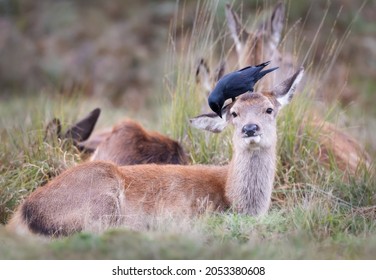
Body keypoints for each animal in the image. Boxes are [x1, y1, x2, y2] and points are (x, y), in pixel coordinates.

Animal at [7, 68, 304, 236]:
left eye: (269, 109)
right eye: (234, 113)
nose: (250, 129)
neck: (234, 199)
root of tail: (22, 213)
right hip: (101, 199)